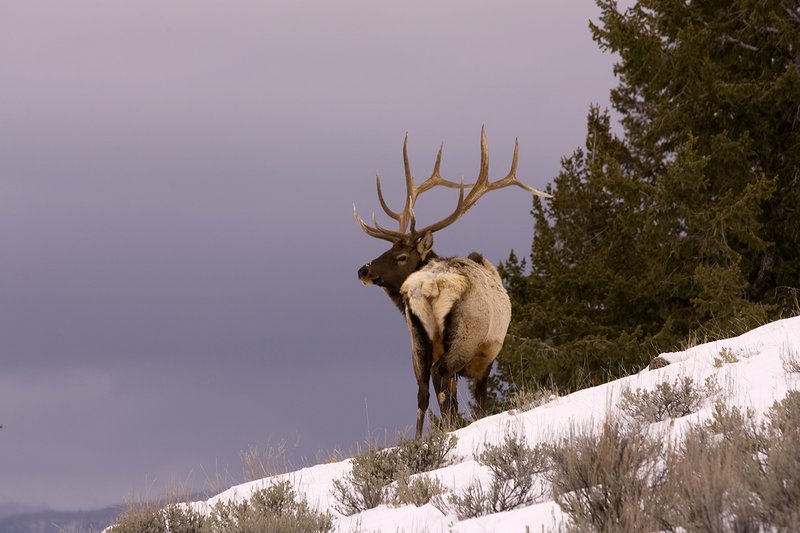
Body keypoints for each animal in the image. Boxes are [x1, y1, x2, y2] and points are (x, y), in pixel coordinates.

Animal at [355, 127, 551, 438]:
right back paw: (446, 430)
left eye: (400, 256)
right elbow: (479, 401)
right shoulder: (486, 358)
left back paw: (420, 439)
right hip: (464, 336)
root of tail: (428, 286)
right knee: (440, 377)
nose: (363, 270)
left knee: (423, 388)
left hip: (417, 340)